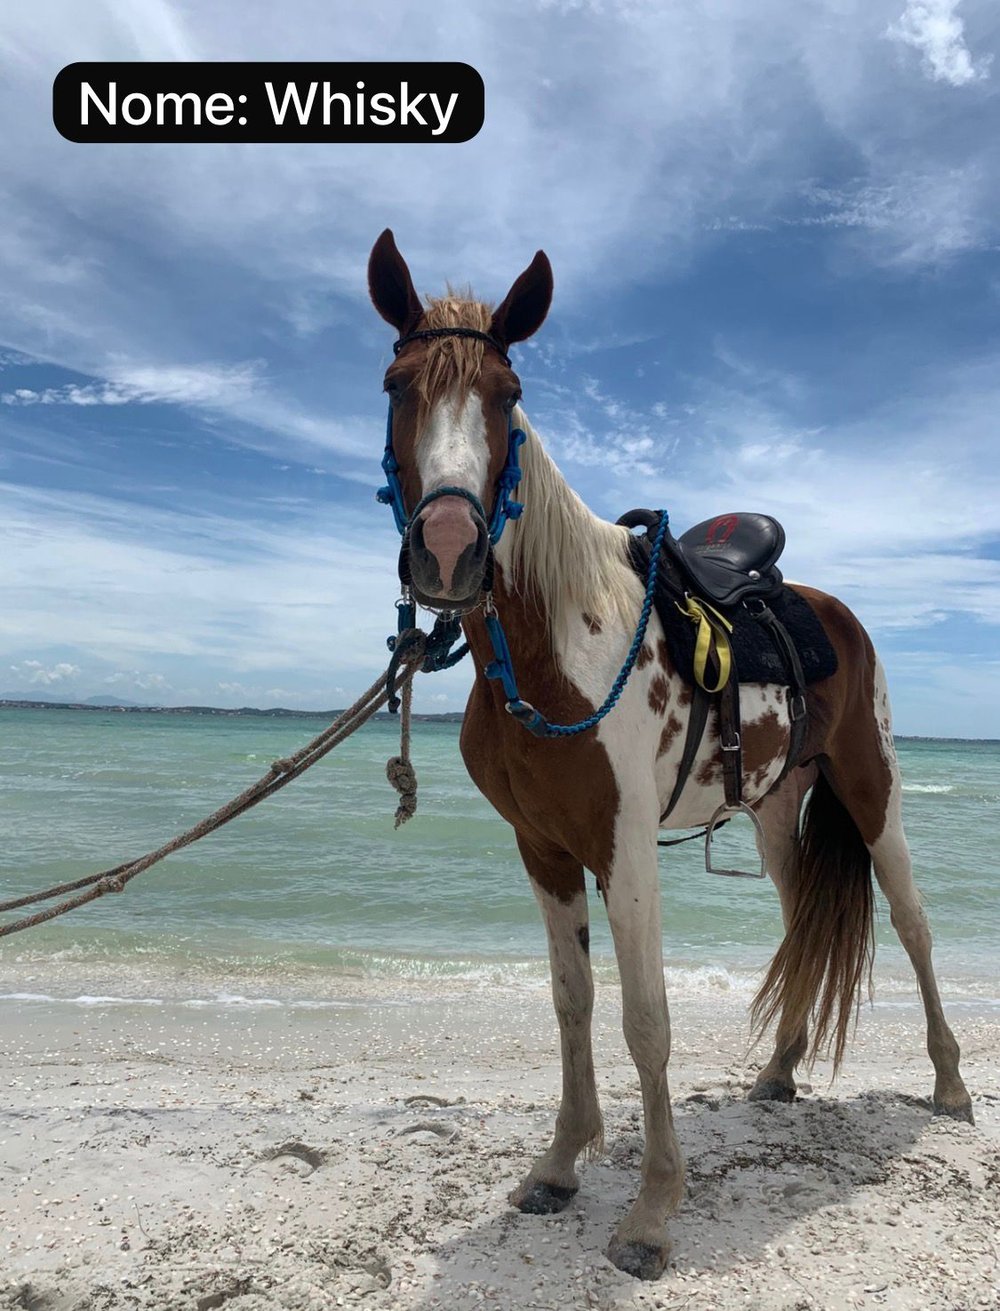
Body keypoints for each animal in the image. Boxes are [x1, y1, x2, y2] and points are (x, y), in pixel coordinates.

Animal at [366, 228, 974, 1280]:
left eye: (508, 395)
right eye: (396, 383)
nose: (447, 550)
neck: (556, 646)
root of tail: (830, 609)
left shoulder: (626, 847)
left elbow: (644, 1017)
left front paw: (651, 1213)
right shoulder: (544, 848)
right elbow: (571, 1002)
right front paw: (559, 1165)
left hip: (874, 788)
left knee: (913, 921)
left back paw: (950, 1085)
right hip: (774, 812)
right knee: (798, 916)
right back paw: (780, 1069)